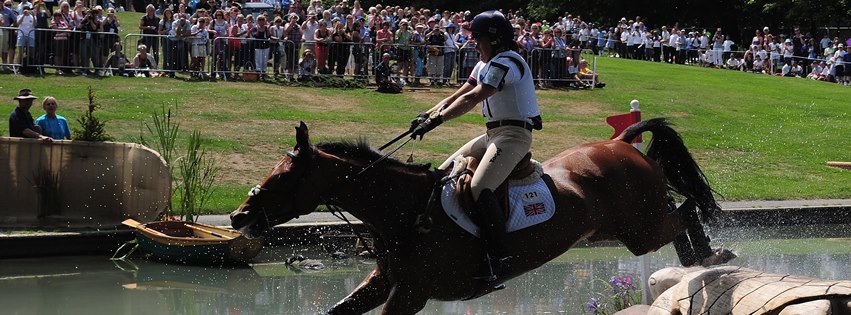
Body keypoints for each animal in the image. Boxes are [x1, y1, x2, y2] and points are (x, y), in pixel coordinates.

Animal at [231, 119, 732, 315]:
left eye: (282, 178)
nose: (238, 216)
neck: (403, 212)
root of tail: (624, 143)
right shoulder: (384, 282)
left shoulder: (410, 293)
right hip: (628, 229)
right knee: (682, 217)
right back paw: (699, 264)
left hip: (641, 229)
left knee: (687, 211)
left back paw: (712, 256)